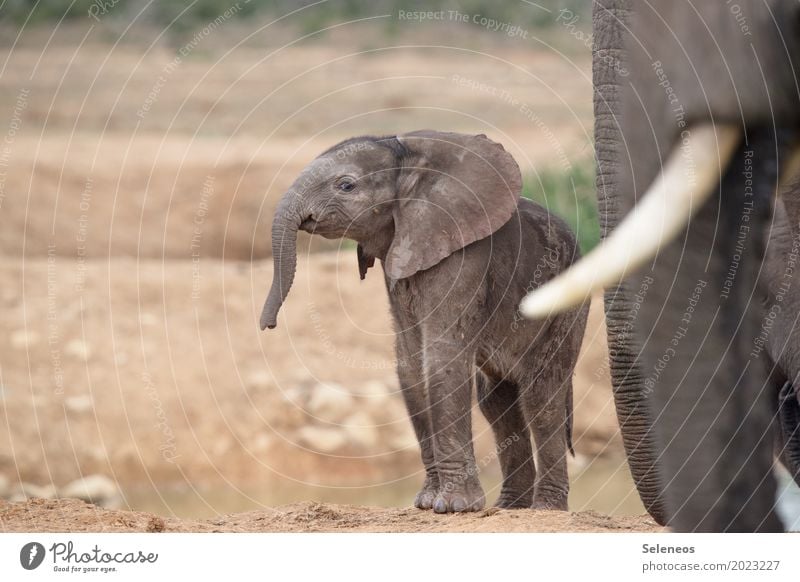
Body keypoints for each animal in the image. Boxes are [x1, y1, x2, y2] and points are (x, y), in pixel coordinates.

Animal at [260, 130, 588, 512]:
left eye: (346, 186)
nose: (268, 326)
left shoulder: (463, 260)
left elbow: (442, 358)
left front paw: (455, 508)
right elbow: (411, 363)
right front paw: (428, 503)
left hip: (568, 308)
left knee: (541, 397)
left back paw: (545, 509)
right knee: (496, 401)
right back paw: (509, 507)